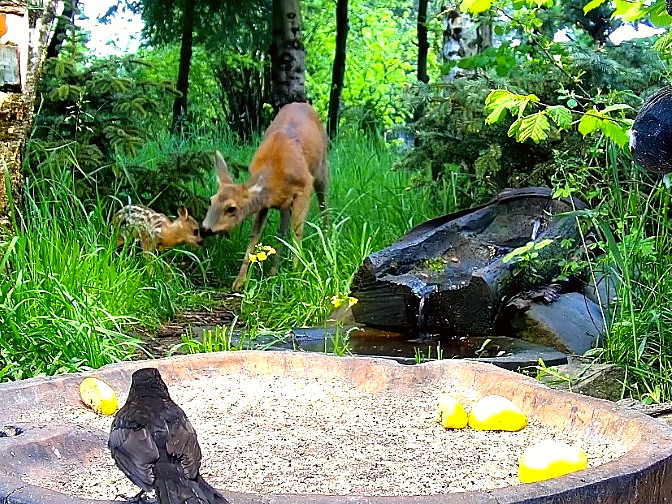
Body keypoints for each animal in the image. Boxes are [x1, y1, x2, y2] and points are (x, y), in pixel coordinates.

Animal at [202, 102, 328, 291]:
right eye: (211, 201)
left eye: (231, 208)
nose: (205, 228)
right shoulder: (264, 205)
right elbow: (255, 236)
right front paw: (239, 282)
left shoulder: (304, 188)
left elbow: (297, 232)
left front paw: (298, 278)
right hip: (285, 205)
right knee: (282, 229)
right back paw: (273, 272)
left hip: (322, 170)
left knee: (324, 205)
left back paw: (327, 243)